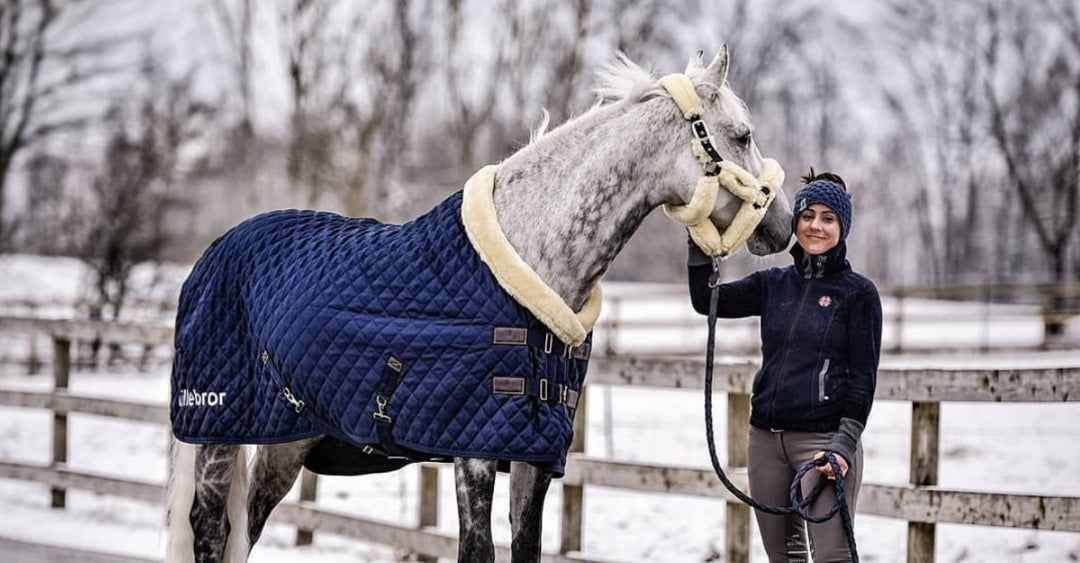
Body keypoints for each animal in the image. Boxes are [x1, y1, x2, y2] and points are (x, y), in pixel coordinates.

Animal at [165, 47, 793, 563]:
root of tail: (215, 252)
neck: (529, 264)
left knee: (246, 527)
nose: (782, 226)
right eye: (741, 134)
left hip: (285, 442)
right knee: (211, 531)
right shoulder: (473, 454)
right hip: (217, 433)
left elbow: (525, 546)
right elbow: (476, 550)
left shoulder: (533, 457)